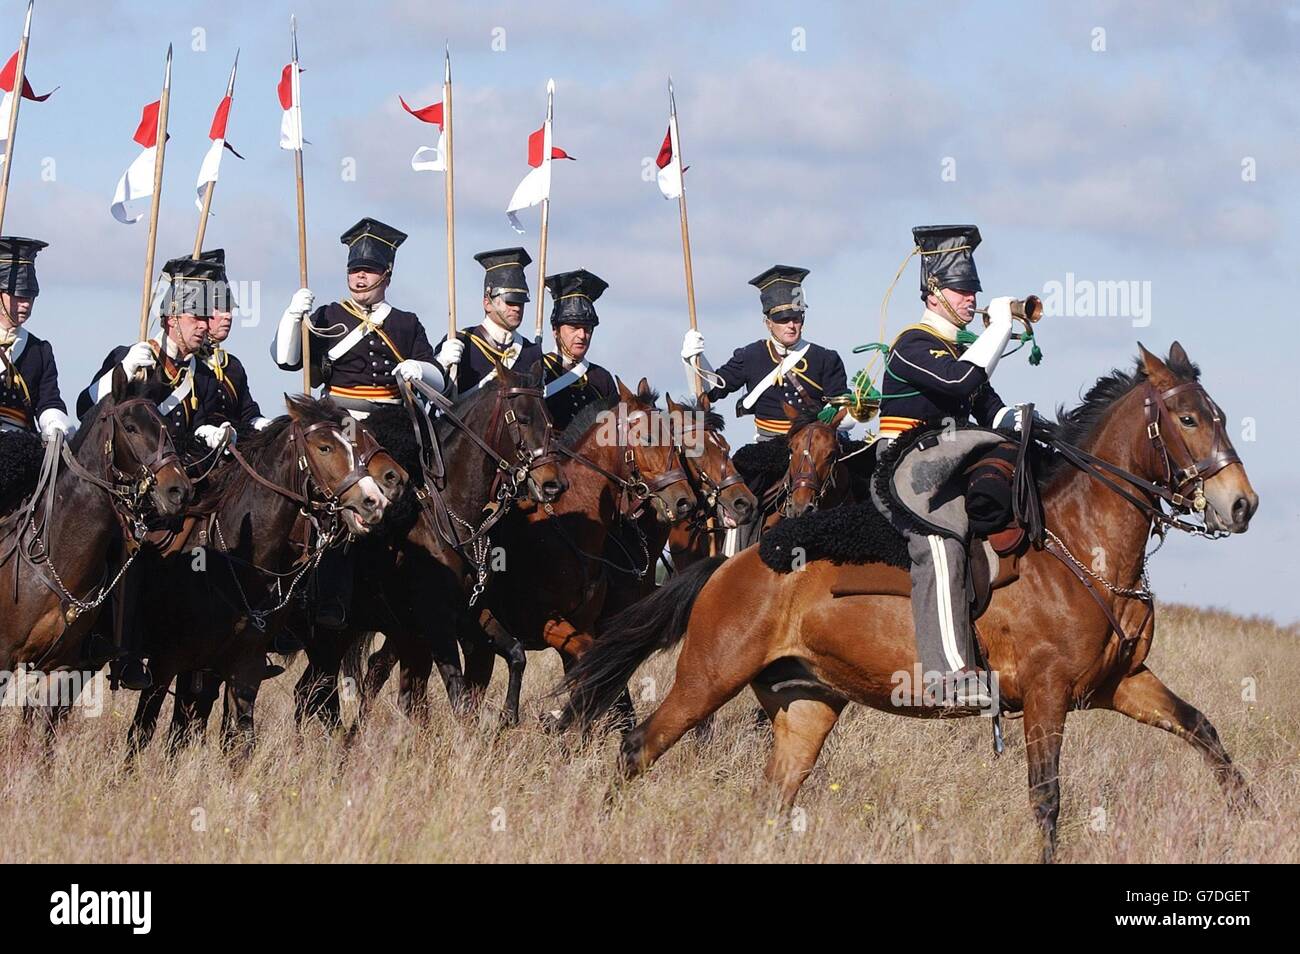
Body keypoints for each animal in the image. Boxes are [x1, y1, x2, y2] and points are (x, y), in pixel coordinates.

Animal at [124, 397, 392, 764]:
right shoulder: (168, 661)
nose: (373, 501)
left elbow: (238, 742)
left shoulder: (244, 666)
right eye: (324, 447)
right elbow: (142, 731)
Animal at [566, 345, 1258, 868]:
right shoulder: (1047, 695)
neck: (1080, 548)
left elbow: (1204, 731)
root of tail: (735, 562)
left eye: (1221, 415)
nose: (1241, 505)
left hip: (807, 704)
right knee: (638, 747)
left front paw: (1253, 818)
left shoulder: (1120, 683)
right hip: (708, 679)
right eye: (1188, 419)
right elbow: (1047, 798)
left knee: (771, 797)